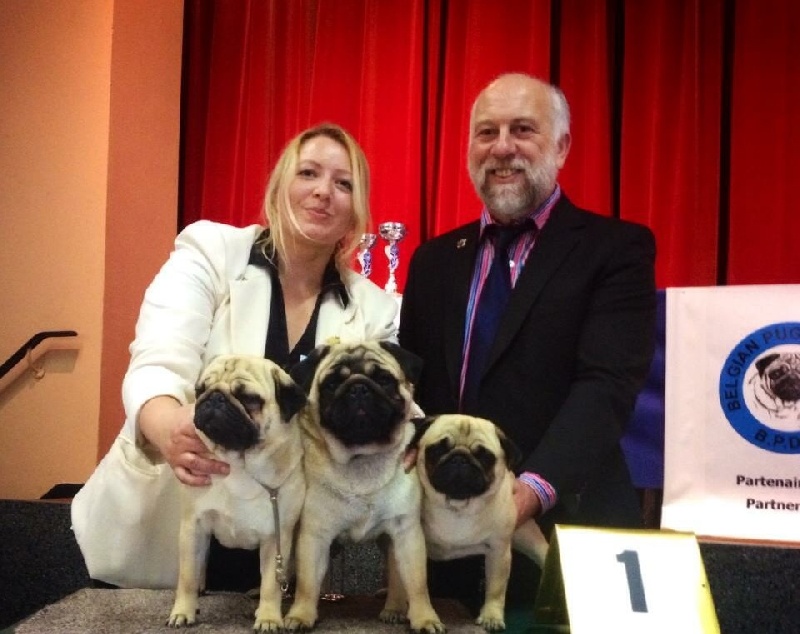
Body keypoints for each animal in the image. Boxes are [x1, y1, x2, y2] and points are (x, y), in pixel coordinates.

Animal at [167, 355, 307, 631]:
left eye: (249, 398)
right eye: (200, 389)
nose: (214, 397)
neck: (240, 464)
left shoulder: (276, 537)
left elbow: (271, 585)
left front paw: (269, 617)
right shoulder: (193, 526)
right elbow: (187, 575)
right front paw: (183, 611)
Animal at [283, 340, 444, 633]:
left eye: (384, 380)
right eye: (332, 384)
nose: (358, 388)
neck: (362, 458)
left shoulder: (407, 534)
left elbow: (417, 584)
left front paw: (426, 618)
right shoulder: (315, 535)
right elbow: (307, 583)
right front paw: (301, 615)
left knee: (397, 576)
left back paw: (394, 609)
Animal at [397, 414, 549, 632]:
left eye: (484, 456)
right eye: (438, 449)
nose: (460, 458)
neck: (458, 505)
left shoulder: (499, 552)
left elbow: (496, 589)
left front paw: (491, 617)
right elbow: (410, 582)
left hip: (529, 536)